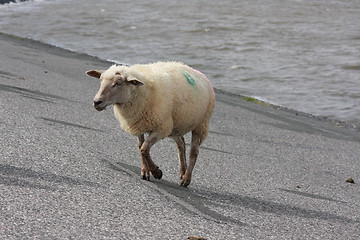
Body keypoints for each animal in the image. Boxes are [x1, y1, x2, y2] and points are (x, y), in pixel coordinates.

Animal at [86, 62, 217, 188]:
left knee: (194, 153)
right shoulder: (139, 125)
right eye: (101, 80)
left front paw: (157, 172)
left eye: (118, 83)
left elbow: (144, 149)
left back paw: (186, 179)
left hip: (200, 124)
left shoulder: (161, 128)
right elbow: (141, 147)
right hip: (174, 125)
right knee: (181, 144)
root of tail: (200, 74)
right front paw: (145, 172)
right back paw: (182, 172)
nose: (97, 102)